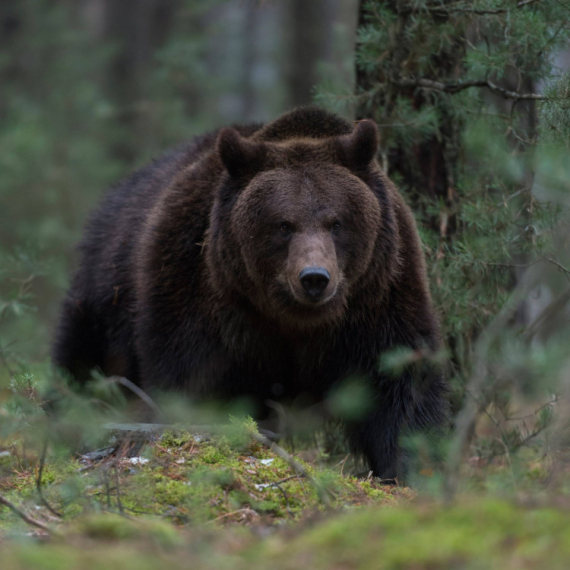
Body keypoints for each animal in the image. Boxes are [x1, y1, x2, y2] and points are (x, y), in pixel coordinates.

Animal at [51, 106, 446, 480]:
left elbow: (400, 387)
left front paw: (413, 466)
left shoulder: (379, 299)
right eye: (283, 225)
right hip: (107, 294)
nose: (314, 278)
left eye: (337, 222)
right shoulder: (202, 296)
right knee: (82, 365)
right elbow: (190, 379)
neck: (295, 321)